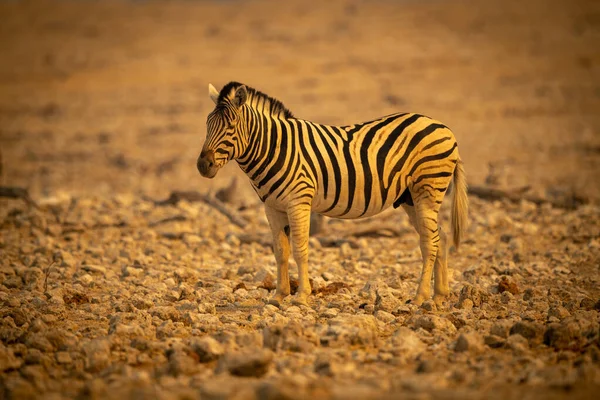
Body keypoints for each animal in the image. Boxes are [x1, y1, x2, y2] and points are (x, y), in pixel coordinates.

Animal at [197, 81, 468, 306]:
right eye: (207, 125)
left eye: (231, 127)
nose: (202, 165)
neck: (272, 148)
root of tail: (442, 126)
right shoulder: (271, 206)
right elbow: (280, 251)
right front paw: (279, 295)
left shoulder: (298, 201)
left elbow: (300, 249)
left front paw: (301, 296)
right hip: (410, 198)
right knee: (441, 237)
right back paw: (439, 295)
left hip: (427, 190)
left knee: (429, 242)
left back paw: (421, 297)